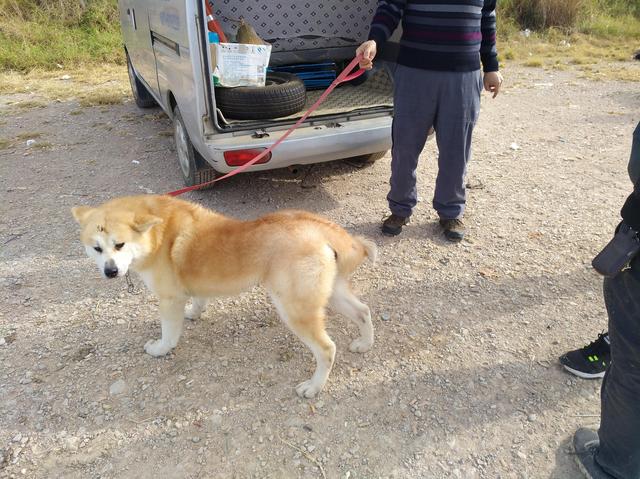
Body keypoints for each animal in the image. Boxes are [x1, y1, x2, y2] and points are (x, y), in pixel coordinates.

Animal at [71, 194, 376, 398]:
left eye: (119, 244)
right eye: (96, 248)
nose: (110, 271)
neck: (156, 235)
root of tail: (321, 226)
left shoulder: (169, 299)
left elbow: (168, 334)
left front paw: (160, 349)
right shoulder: (192, 289)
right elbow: (198, 301)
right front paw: (193, 314)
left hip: (295, 309)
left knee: (327, 349)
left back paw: (313, 387)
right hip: (330, 293)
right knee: (363, 311)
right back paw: (364, 344)